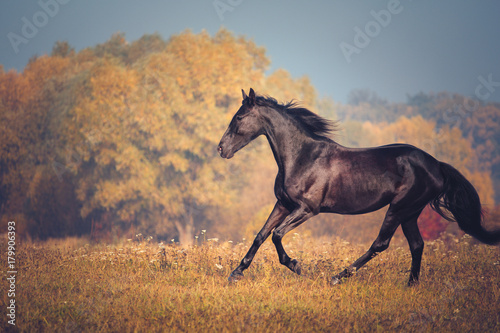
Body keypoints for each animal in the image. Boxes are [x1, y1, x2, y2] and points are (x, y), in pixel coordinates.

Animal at [219, 88, 500, 286]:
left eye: (239, 117)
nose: (221, 149)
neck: (302, 156)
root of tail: (437, 165)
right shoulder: (283, 204)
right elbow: (260, 235)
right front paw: (236, 273)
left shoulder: (307, 209)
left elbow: (276, 235)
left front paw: (296, 266)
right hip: (410, 212)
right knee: (417, 245)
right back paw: (411, 284)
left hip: (399, 208)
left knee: (381, 244)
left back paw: (337, 277)